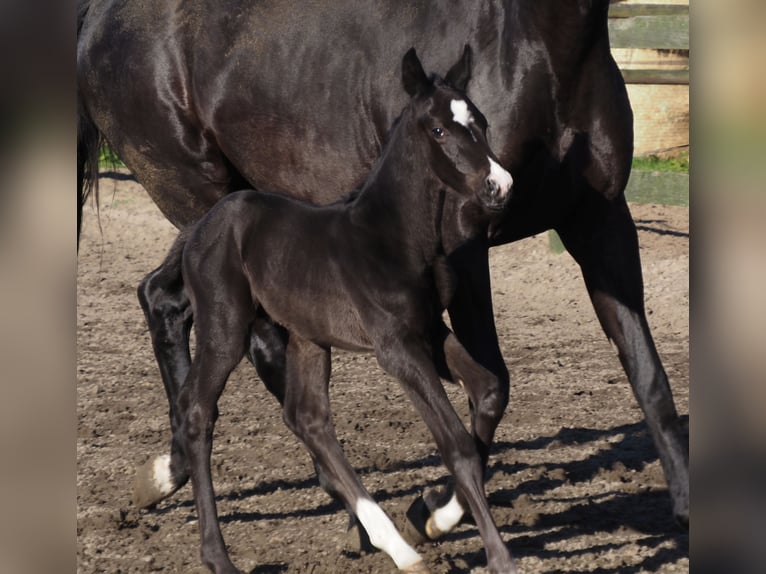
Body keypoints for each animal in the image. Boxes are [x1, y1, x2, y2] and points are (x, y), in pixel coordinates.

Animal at [144, 49, 516, 574]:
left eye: (480, 121)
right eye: (440, 130)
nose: (498, 185)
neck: (393, 237)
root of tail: (202, 225)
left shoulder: (430, 331)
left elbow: (488, 392)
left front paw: (434, 518)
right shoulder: (396, 348)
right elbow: (457, 445)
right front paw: (499, 555)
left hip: (306, 336)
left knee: (308, 417)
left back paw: (398, 548)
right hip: (225, 327)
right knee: (198, 410)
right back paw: (217, 557)